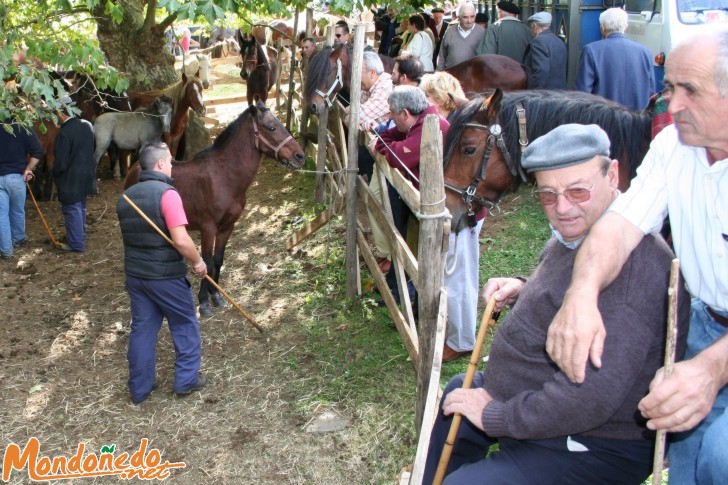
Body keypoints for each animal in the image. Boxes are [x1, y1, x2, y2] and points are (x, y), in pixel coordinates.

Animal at [124, 100, 304, 316]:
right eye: (271, 127)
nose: (300, 156)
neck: (224, 176)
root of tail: (134, 168)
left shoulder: (227, 227)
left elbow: (218, 260)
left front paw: (216, 295)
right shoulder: (208, 228)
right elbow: (207, 262)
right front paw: (204, 302)